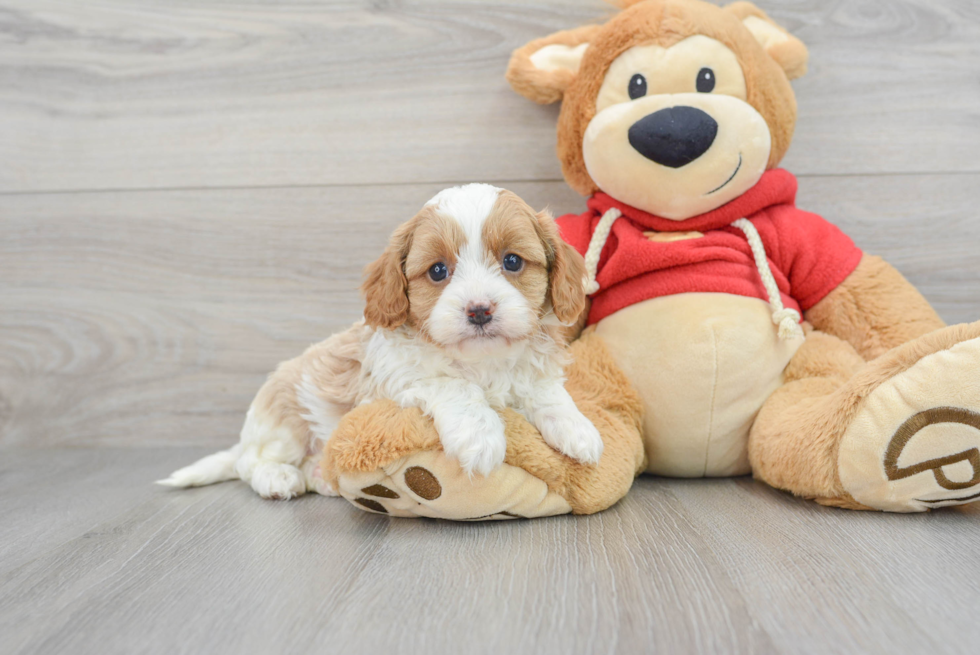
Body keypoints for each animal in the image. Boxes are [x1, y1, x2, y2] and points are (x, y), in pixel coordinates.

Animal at [159, 184, 604, 502]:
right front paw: (480, 437)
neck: (482, 362)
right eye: (438, 271)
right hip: (283, 418)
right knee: (252, 463)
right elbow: (454, 387)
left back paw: (321, 477)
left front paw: (577, 429)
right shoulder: (398, 379)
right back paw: (279, 478)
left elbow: (547, 392)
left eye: (512, 261)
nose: (479, 310)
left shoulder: (530, 370)